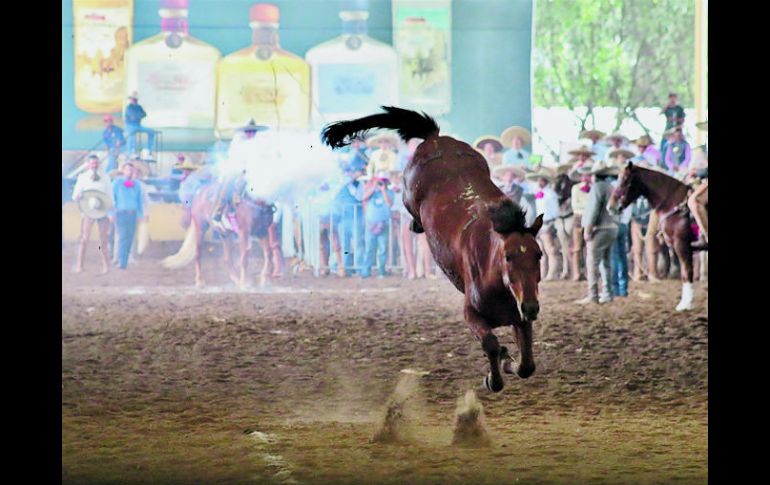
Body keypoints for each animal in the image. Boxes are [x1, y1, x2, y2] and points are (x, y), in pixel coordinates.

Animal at [320, 107, 544, 394]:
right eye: (508, 256)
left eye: (538, 255)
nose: (531, 306)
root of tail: (435, 138)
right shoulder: (471, 312)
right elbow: (491, 344)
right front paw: (494, 376)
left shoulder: (520, 318)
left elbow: (526, 365)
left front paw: (508, 361)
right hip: (408, 193)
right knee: (410, 209)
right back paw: (415, 224)